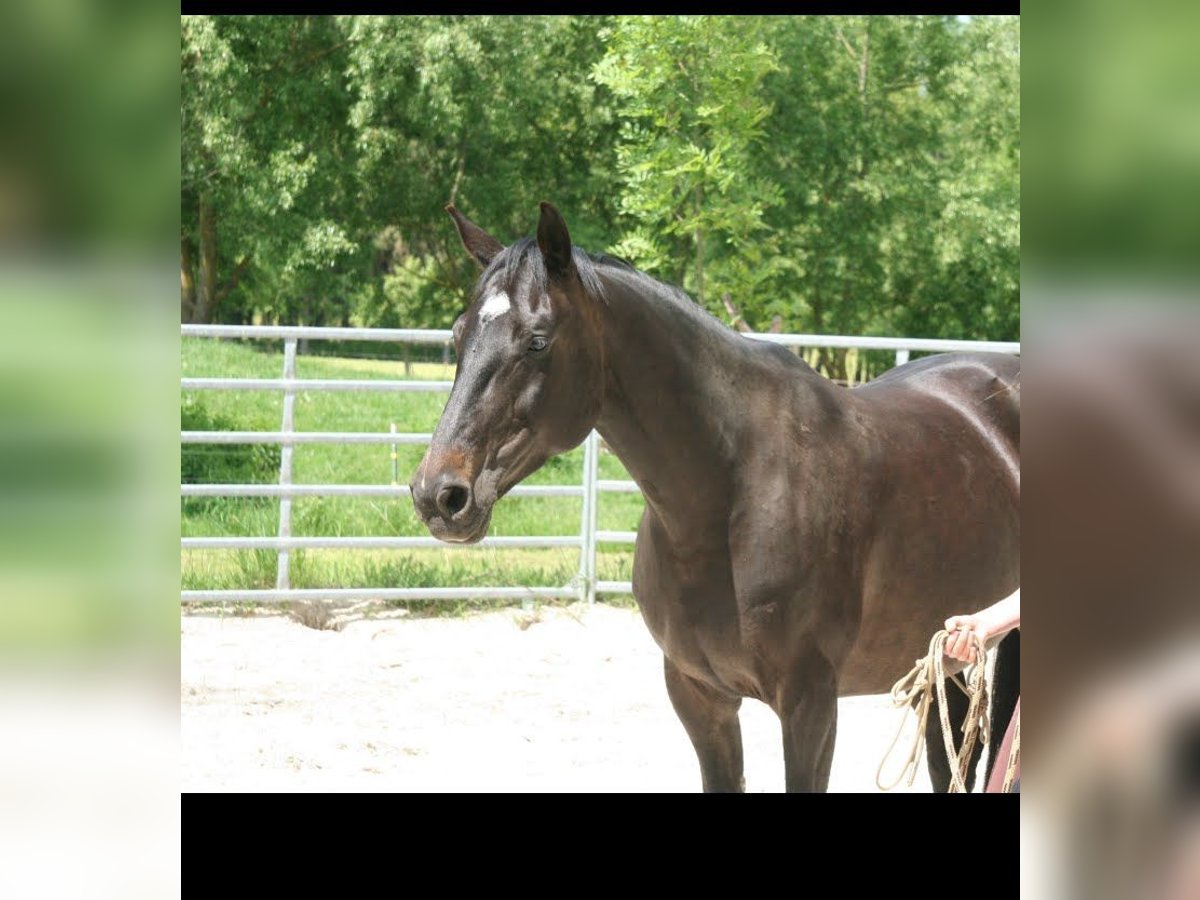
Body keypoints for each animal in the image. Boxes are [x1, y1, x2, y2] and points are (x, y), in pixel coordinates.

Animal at [412, 200, 1022, 792]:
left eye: (537, 341)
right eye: (457, 336)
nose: (438, 494)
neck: (731, 494)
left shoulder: (810, 705)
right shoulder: (698, 696)